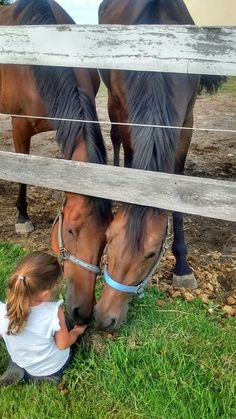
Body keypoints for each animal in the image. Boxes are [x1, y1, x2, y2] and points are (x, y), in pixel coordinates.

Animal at [0, 0, 112, 324]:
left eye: (106, 238)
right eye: (71, 231)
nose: (82, 313)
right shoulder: (20, 127)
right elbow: (23, 174)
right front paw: (22, 218)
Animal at [94, 0, 201, 332]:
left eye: (151, 253)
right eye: (108, 238)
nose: (103, 317)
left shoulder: (186, 121)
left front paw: (182, 266)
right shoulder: (124, 108)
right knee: (116, 140)